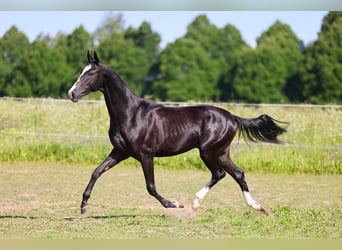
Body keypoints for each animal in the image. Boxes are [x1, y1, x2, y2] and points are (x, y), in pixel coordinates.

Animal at [68, 51, 288, 215]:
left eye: (89, 74)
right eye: (81, 72)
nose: (71, 93)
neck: (131, 113)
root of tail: (232, 117)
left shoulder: (145, 154)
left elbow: (150, 186)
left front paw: (174, 204)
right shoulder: (120, 152)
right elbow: (97, 171)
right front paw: (84, 206)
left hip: (208, 151)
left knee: (219, 173)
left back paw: (195, 203)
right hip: (221, 152)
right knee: (238, 173)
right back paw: (257, 206)